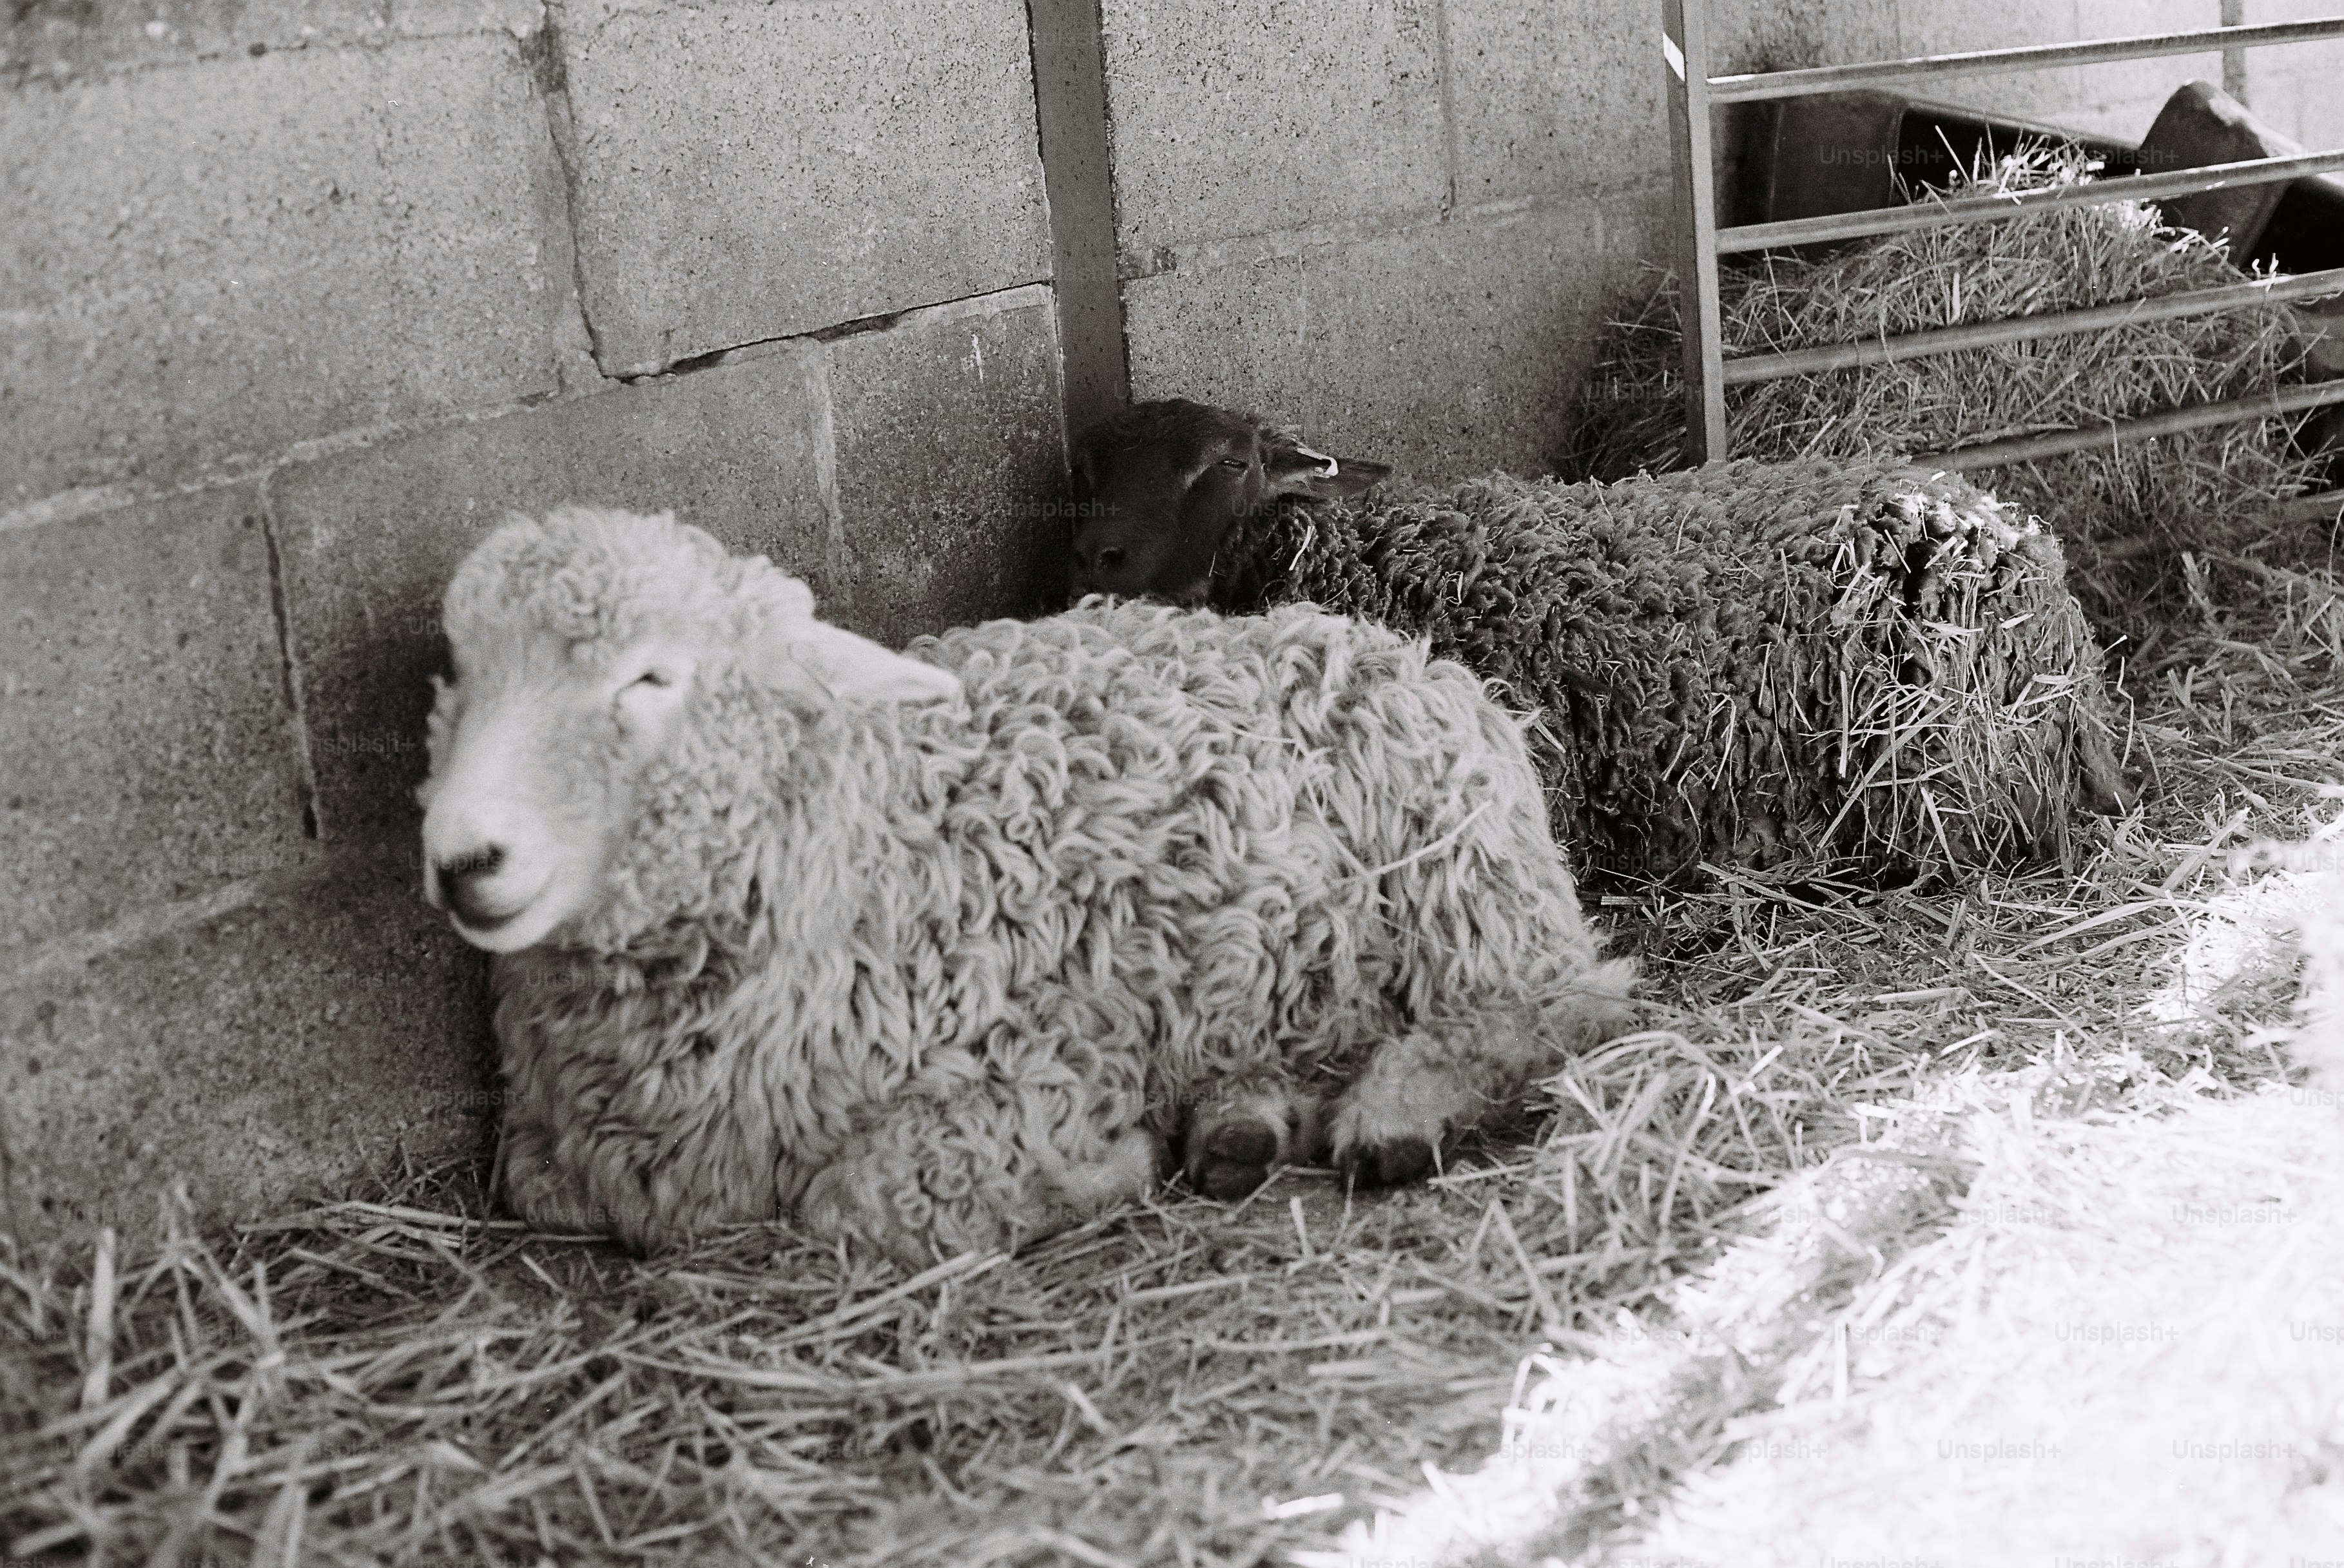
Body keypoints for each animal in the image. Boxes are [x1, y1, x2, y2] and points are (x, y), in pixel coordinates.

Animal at [417, 505, 1636, 1265]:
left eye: (650, 679)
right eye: (466, 673)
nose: (463, 858)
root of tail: (1408, 648)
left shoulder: (1042, 1060)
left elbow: (857, 1199)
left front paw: (1104, 1166)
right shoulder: (559, 1155)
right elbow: (536, 1182)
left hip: (1462, 884)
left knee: (1556, 1002)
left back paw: (1393, 1113)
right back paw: (1240, 1121)